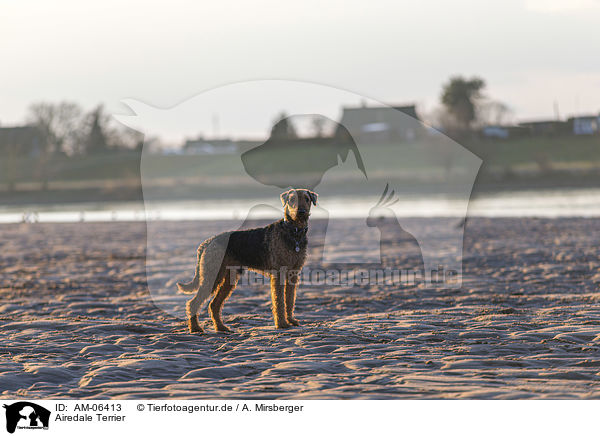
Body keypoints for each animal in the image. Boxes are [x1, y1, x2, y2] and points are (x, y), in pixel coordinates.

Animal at [178, 188, 318, 334]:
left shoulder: (293, 274)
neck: (294, 232)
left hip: (228, 278)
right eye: (292, 199)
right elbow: (279, 301)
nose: (301, 212)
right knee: (193, 303)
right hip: (212, 275)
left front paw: (291, 321)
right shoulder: (279, 273)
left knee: (214, 304)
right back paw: (195, 328)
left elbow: (289, 300)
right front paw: (282, 324)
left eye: (307, 199)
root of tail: (208, 242)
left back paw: (221, 327)